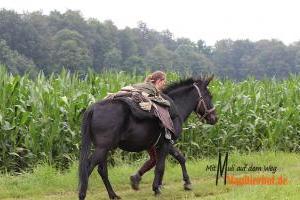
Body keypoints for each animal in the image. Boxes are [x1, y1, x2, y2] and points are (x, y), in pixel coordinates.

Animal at [78, 76, 217, 199]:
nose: (215, 118)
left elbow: (179, 158)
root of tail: (92, 108)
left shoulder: (161, 144)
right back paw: (82, 194)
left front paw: (186, 183)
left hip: (104, 149)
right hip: (102, 148)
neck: (175, 107)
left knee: (102, 170)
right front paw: (156, 188)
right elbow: (161, 167)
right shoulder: (166, 144)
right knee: (88, 168)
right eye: (209, 95)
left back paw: (113, 195)